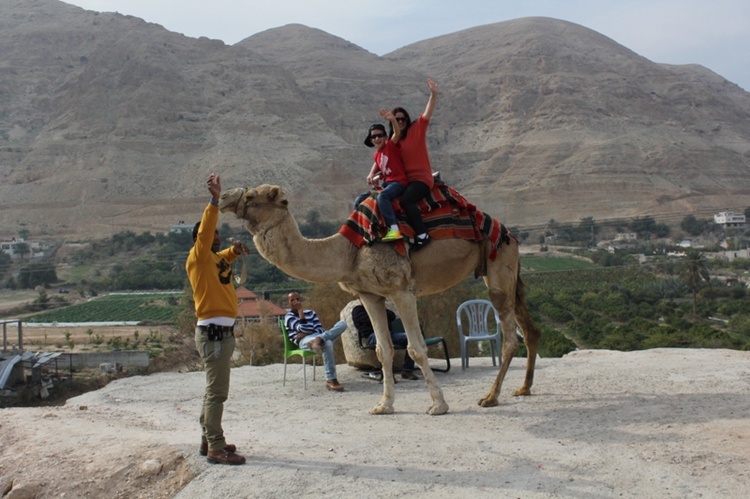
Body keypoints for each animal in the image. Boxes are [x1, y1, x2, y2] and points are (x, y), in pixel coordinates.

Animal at [217, 186, 540, 416]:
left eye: (252, 195)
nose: (221, 196)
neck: (348, 251)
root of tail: (508, 233)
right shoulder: (369, 295)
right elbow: (383, 350)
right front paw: (384, 405)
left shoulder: (401, 290)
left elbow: (416, 348)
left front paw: (438, 405)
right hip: (502, 270)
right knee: (530, 329)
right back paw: (523, 389)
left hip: (499, 267)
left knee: (511, 336)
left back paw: (491, 397)